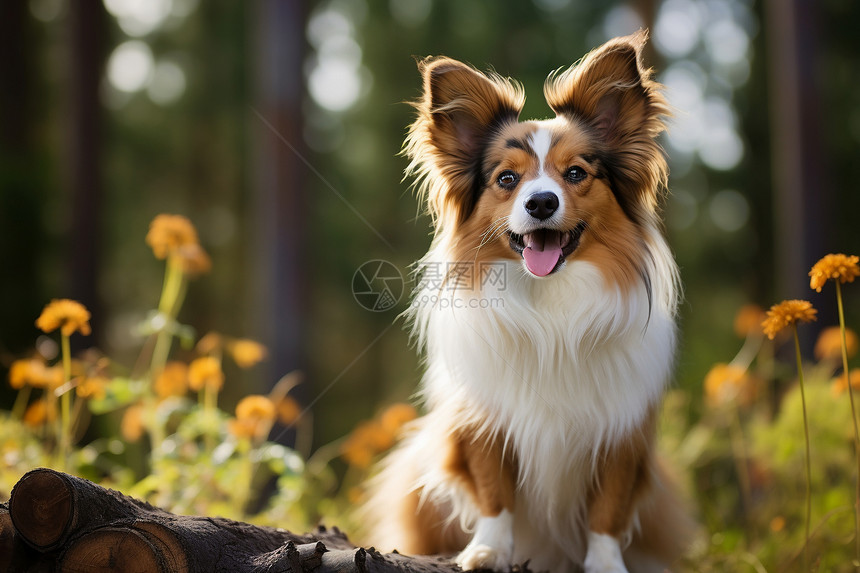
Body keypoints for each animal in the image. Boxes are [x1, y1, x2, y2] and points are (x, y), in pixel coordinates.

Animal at [362, 32, 692, 572]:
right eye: (506, 180)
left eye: (575, 174)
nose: (541, 203)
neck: (550, 299)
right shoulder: (483, 420)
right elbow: (494, 492)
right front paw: (489, 550)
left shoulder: (622, 431)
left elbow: (608, 509)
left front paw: (605, 562)